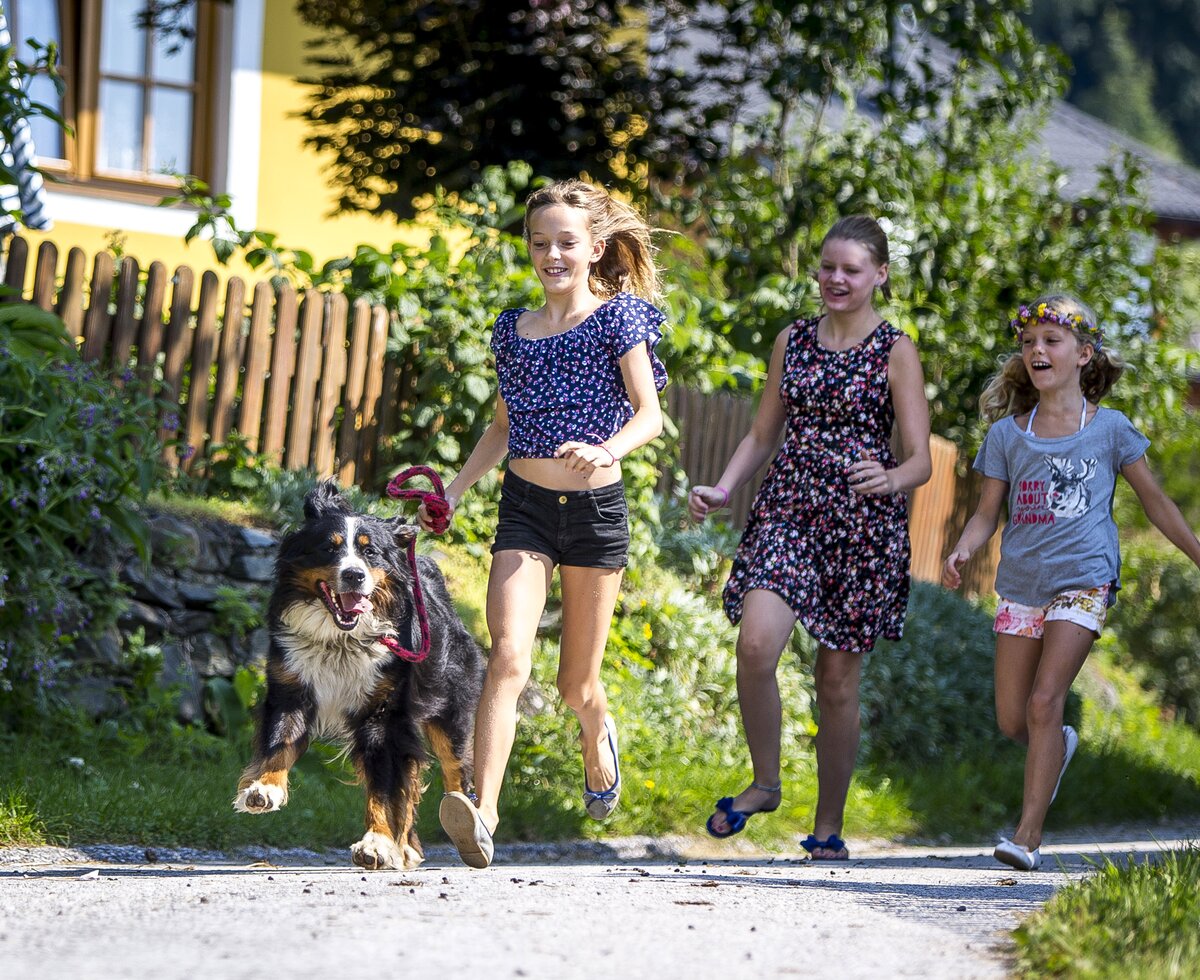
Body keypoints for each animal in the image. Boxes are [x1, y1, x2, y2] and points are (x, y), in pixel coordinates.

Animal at [234, 477, 482, 868]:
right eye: (329, 548)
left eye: (370, 553)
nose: (354, 574)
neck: (341, 640)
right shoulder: (291, 689)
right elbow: (279, 744)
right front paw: (263, 788)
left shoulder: (383, 718)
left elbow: (384, 788)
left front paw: (377, 843)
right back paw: (406, 846)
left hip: (451, 709)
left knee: (454, 770)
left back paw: (461, 826)